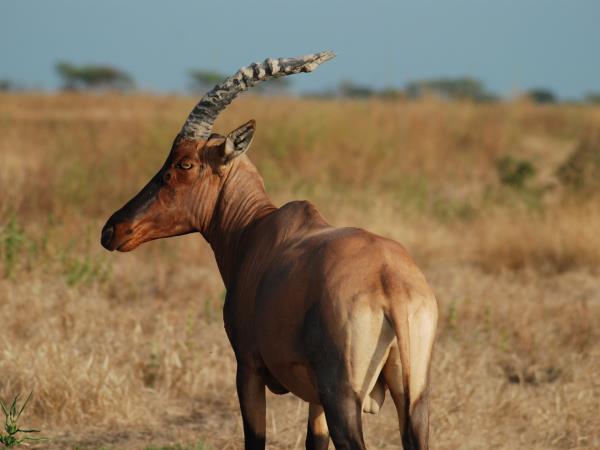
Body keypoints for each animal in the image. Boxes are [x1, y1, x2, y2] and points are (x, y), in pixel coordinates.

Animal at [101, 51, 438, 448]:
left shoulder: (248, 367)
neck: (257, 229)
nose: (113, 230)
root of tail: (390, 284)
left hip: (343, 398)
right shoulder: (314, 398)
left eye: (183, 163)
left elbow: (255, 439)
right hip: (414, 399)